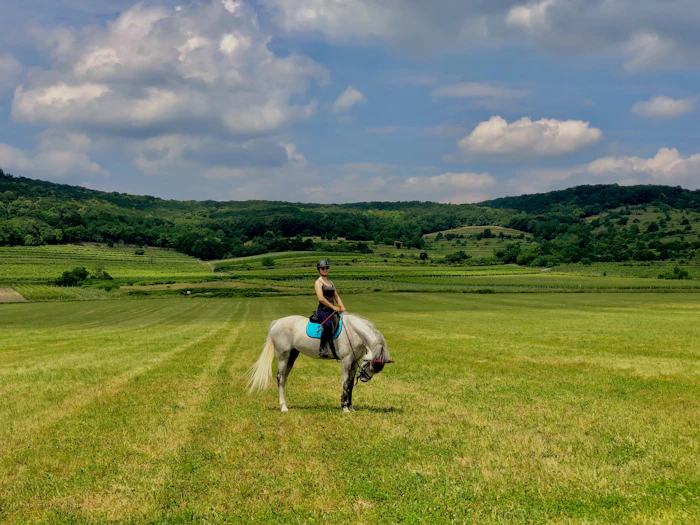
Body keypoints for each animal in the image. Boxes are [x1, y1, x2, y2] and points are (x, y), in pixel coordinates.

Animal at [247, 313, 393, 412]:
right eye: (370, 364)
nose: (364, 378)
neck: (353, 332)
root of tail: (277, 321)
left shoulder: (354, 361)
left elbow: (350, 385)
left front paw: (350, 407)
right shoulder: (346, 361)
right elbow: (345, 383)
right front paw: (344, 407)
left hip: (292, 356)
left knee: (283, 379)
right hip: (283, 355)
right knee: (281, 379)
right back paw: (283, 407)